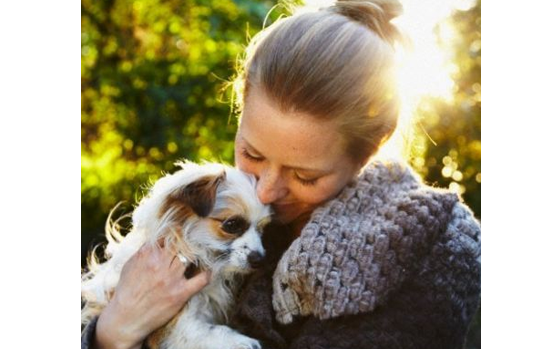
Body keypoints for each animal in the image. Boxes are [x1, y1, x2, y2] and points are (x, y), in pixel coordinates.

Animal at [81, 160, 270, 348]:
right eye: (232, 224)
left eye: (262, 229)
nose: (259, 260)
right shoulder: (177, 328)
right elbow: (216, 332)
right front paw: (245, 342)